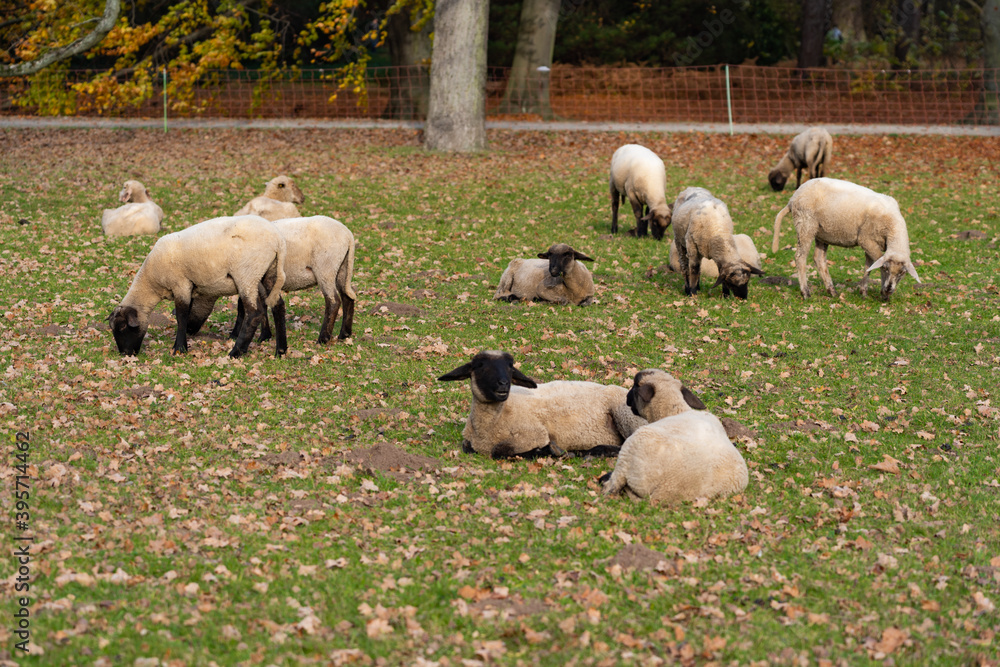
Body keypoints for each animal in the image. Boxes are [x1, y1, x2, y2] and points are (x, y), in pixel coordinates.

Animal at [108, 215, 287, 358]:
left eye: (122, 327)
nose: (125, 354)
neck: (152, 282)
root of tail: (278, 240)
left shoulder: (180, 284)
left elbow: (181, 317)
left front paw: (179, 348)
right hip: (267, 273)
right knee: (278, 306)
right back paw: (281, 350)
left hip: (247, 274)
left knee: (254, 313)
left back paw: (236, 352)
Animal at [187, 215, 357, 344]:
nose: (188, 331)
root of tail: (348, 235)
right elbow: (259, 306)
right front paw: (264, 336)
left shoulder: (250, 279)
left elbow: (247, 308)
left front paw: (240, 335)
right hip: (342, 267)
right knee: (347, 297)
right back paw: (344, 335)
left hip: (326, 268)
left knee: (333, 301)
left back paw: (323, 339)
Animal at [437, 350, 647, 459]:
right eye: (479, 366)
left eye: (510, 366)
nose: (504, 384)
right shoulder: (469, 439)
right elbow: (466, 446)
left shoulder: (535, 433)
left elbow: (499, 450)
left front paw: (547, 450)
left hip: (626, 414)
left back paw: (594, 451)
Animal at [601, 369, 748, 504]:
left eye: (635, 386)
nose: (626, 398)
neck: (675, 411)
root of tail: (661, 491)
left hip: (628, 454)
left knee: (612, 484)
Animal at [770, 177, 922, 300]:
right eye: (885, 268)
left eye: (902, 273)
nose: (889, 289)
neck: (892, 228)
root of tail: (792, 199)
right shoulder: (866, 239)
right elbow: (875, 262)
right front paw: (882, 293)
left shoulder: (872, 242)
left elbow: (869, 266)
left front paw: (864, 292)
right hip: (805, 224)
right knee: (800, 257)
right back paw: (806, 292)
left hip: (822, 232)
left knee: (819, 259)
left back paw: (831, 291)